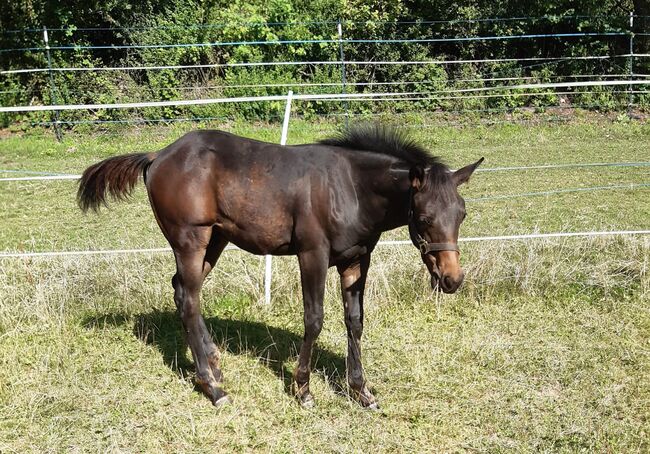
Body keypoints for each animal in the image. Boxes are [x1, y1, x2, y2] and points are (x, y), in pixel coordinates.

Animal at [77, 124, 480, 408]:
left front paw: (361, 391)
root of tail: (158, 155)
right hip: (190, 240)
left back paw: (213, 364)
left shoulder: (356, 259)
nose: (452, 278)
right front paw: (303, 389)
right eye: (425, 218)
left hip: (215, 241)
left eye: (461, 214)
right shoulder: (313, 254)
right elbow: (314, 319)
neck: (350, 187)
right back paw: (213, 387)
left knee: (181, 292)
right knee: (189, 299)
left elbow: (355, 321)